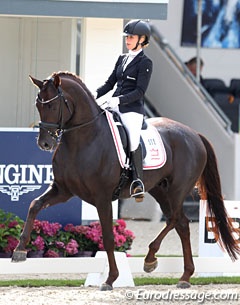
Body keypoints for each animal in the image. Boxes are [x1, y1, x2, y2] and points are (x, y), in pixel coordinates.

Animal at [12, 72, 239, 290]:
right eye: (38, 104)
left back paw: (153, 259)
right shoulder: (63, 190)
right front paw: (19, 250)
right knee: (181, 223)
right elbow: (35, 205)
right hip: (160, 190)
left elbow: (108, 237)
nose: (45, 143)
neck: (84, 139)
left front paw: (110, 279)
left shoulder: (102, 198)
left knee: (175, 219)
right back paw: (183, 275)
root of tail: (195, 134)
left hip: (177, 189)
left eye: (52, 105)